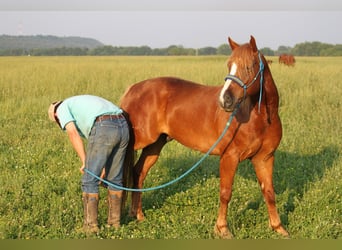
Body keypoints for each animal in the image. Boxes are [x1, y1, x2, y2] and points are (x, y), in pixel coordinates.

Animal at [120, 35, 288, 238]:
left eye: (250, 66)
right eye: (229, 65)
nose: (225, 100)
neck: (260, 118)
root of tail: (132, 89)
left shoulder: (264, 158)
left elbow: (269, 192)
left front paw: (278, 227)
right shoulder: (229, 157)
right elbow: (226, 193)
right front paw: (222, 229)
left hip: (154, 146)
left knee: (139, 172)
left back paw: (138, 215)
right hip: (136, 142)